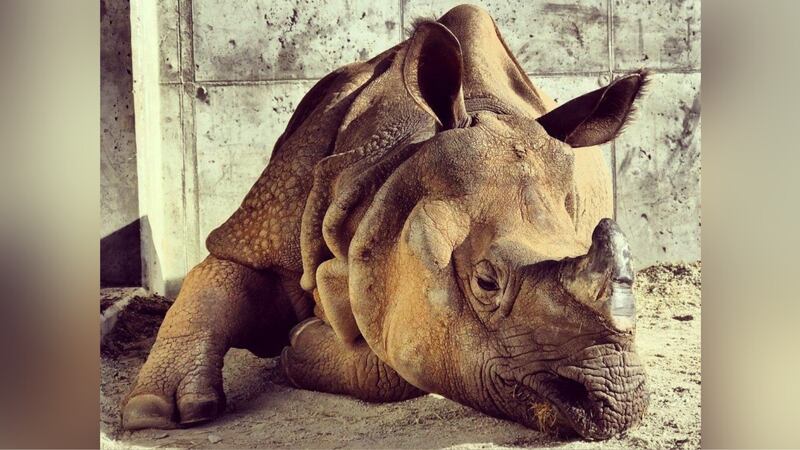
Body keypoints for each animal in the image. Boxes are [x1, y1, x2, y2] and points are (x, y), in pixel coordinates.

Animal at [122, 5, 649, 440]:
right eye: (485, 282)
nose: (618, 402)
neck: (385, 174)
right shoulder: (267, 222)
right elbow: (219, 274)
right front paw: (154, 413)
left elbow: (397, 361)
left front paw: (300, 344)